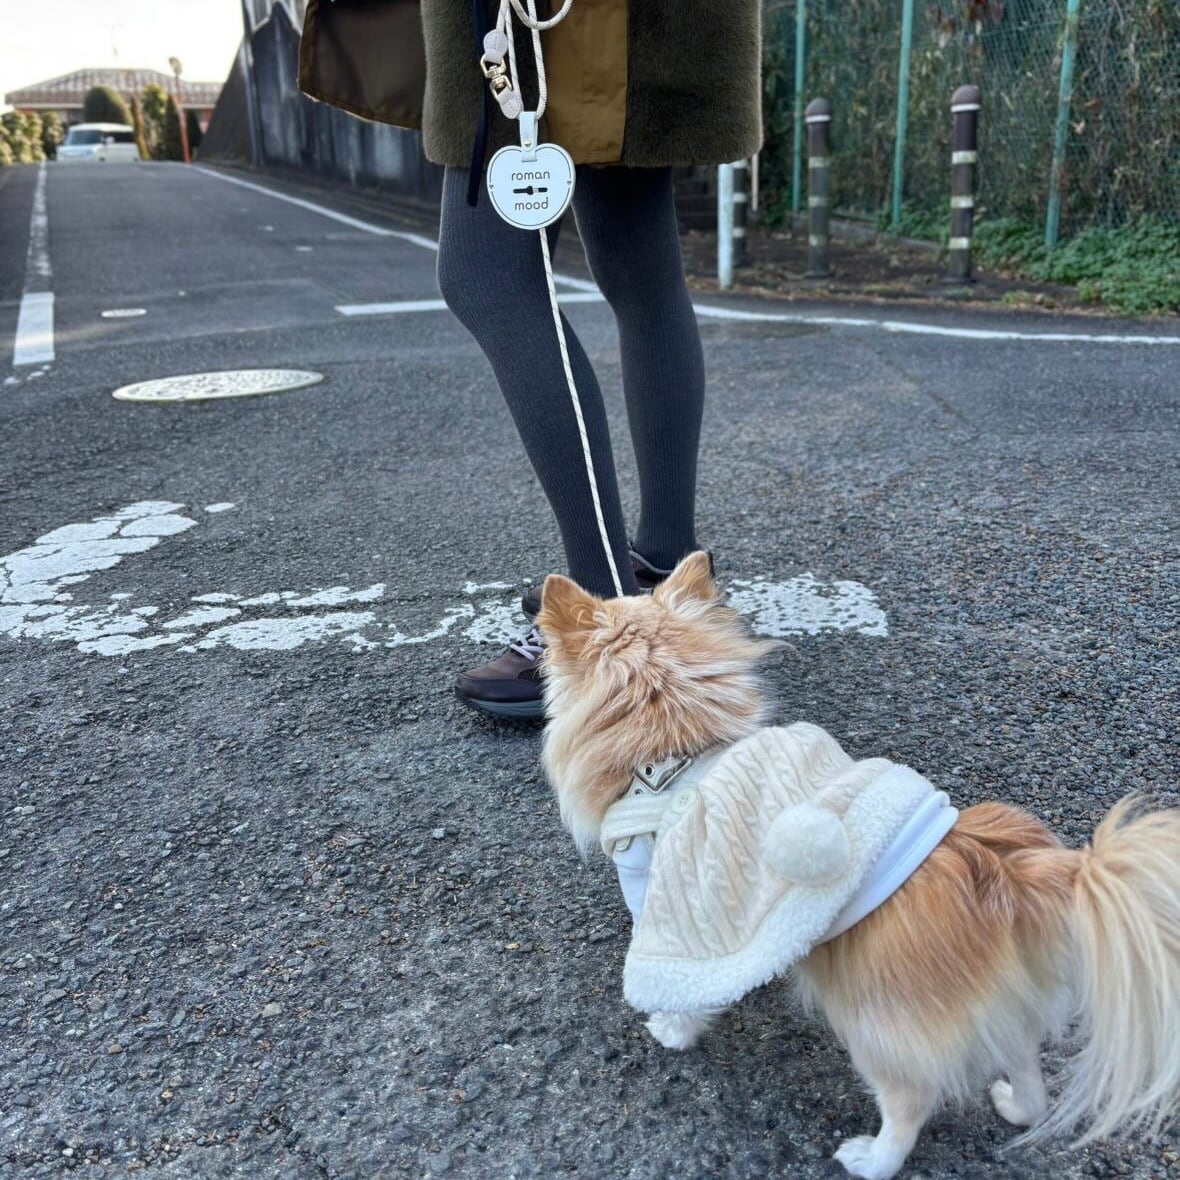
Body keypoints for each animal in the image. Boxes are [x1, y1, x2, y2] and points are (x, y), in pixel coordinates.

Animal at [536, 551, 1180, 1180]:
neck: (672, 744)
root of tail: (1006, 878)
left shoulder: (663, 896)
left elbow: (680, 987)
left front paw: (672, 1032)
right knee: (1025, 1069)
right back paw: (1014, 1106)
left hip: (875, 1024)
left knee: (912, 1101)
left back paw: (871, 1158)